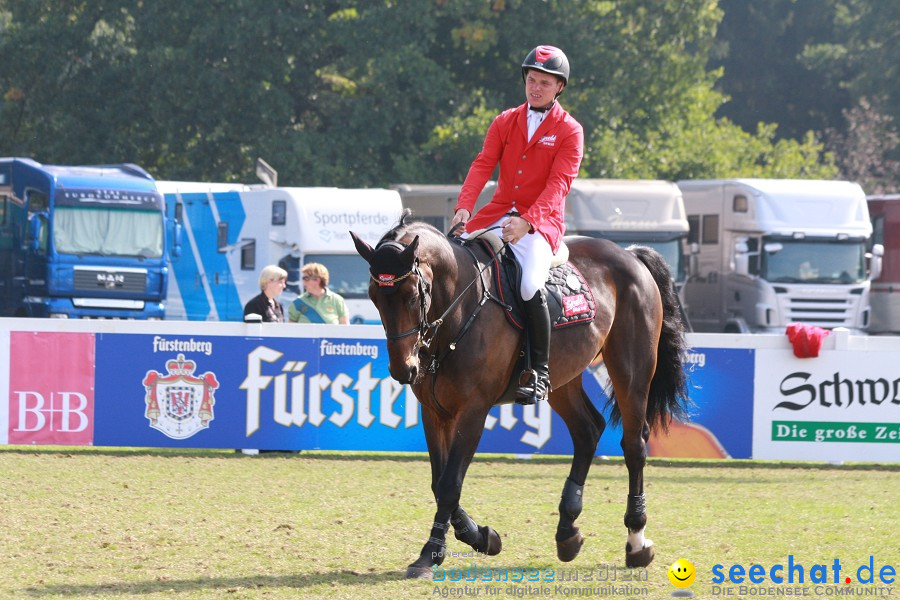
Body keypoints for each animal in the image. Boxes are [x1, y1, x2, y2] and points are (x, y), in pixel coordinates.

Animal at [352, 210, 688, 576]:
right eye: (373, 296)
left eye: (413, 296)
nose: (404, 370)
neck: (459, 307)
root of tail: (630, 255)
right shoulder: (434, 412)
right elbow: (439, 483)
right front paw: (482, 537)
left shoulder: (473, 411)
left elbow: (450, 484)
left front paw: (432, 553)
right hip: (562, 377)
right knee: (587, 430)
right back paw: (567, 533)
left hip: (632, 371)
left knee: (634, 446)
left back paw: (636, 540)